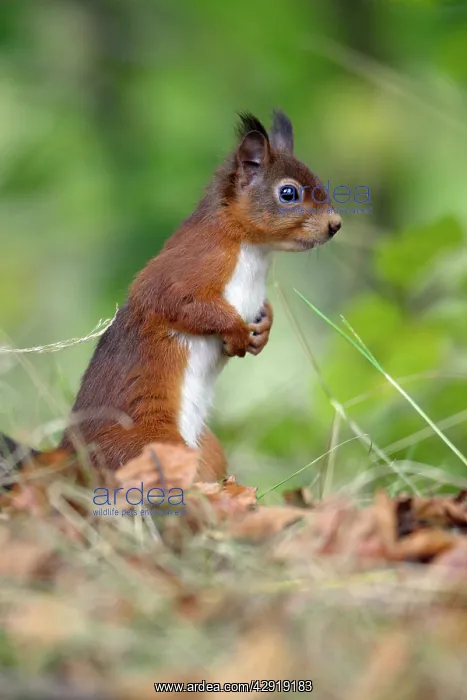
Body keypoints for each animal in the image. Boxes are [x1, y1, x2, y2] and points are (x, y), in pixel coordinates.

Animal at [0, 110, 341, 485]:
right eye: (288, 193)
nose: (335, 224)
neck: (255, 252)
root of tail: (73, 459)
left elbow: (262, 311)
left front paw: (262, 331)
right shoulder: (189, 266)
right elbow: (174, 302)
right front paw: (236, 333)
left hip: (207, 451)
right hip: (148, 447)